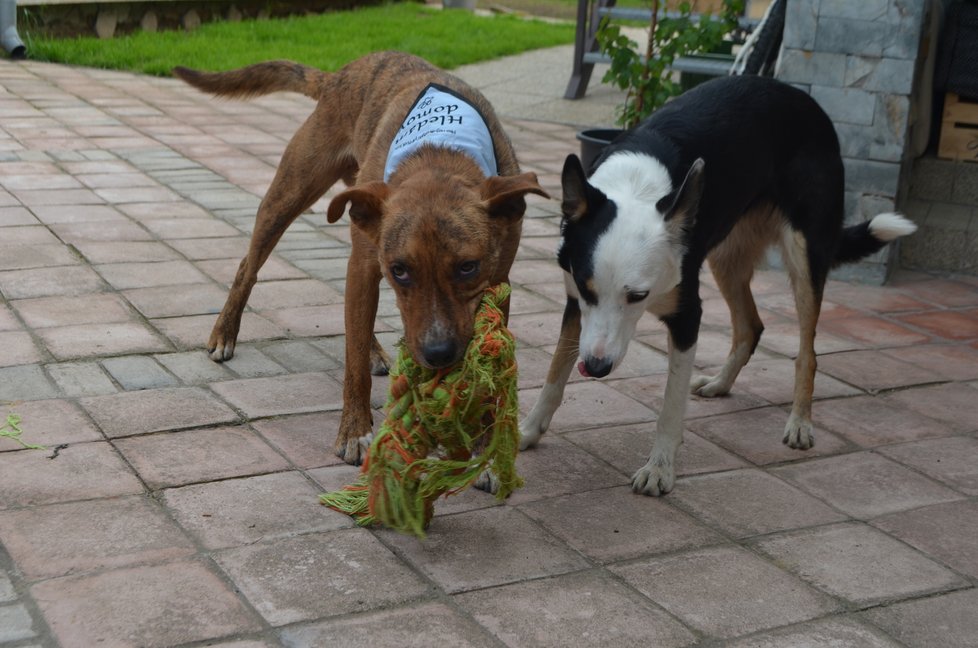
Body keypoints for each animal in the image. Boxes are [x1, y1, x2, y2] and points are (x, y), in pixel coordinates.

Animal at [172, 53, 544, 464]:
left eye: (468, 267)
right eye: (401, 270)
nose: (438, 353)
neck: (440, 153)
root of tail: (341, 73)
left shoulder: (498, 281)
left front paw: (483, 443)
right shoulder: (369, 267)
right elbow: (352, 364)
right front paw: (354, 431)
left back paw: (374, 351)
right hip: (289, 195)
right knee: (248, 267)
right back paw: (224, 333)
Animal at [520, 74, 916, 496]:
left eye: (638, 296)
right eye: (586, 288)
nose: (595, 368)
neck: (635, 188)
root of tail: (797, 94)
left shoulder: (687, 316)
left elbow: (671, 404)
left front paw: (660, 467)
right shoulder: (575, 305)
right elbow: (554, 373)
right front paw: (527, 431)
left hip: (804, 255)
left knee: (807, 351)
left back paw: (800, 422)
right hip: (726, 258)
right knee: (750, 327)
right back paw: (720, 384)